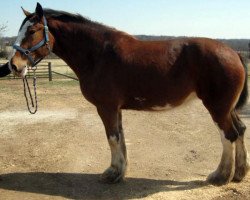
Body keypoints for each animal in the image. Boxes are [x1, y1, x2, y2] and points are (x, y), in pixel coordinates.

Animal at [8, 2, 249, 185]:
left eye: (32, 31)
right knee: (240, 130)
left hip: (217, 107)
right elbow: (120, 137)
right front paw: (121, 171)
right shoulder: (116, 108)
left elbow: (112, 138)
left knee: (228, 135)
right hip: (227, 108)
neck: (98, 54)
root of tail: (233, 53)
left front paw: (112, 173)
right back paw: (239, 173)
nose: (13, 65)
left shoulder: (106, 107)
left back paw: (220, 176)